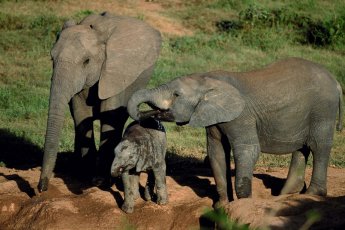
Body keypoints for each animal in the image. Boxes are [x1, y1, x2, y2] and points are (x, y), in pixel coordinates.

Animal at [37, 12, 161, 192]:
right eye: (52, 58)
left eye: (86, 61)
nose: (42, 188)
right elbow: (80, 113)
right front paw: (85, 176)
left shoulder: (114, 73)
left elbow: (110, 114)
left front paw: (100, 181)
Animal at [126, 58, 342, 206]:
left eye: (176, 95)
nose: (144, 116)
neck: (209, 80)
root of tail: (337, 82)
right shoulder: (213, 119)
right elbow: (217, 153)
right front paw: (222, 206)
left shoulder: (241, 117)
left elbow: (247, 151)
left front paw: (244, 204)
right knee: (302, 148)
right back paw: (285, 195)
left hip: (323, 110)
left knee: (318, 146)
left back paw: (311, 195)